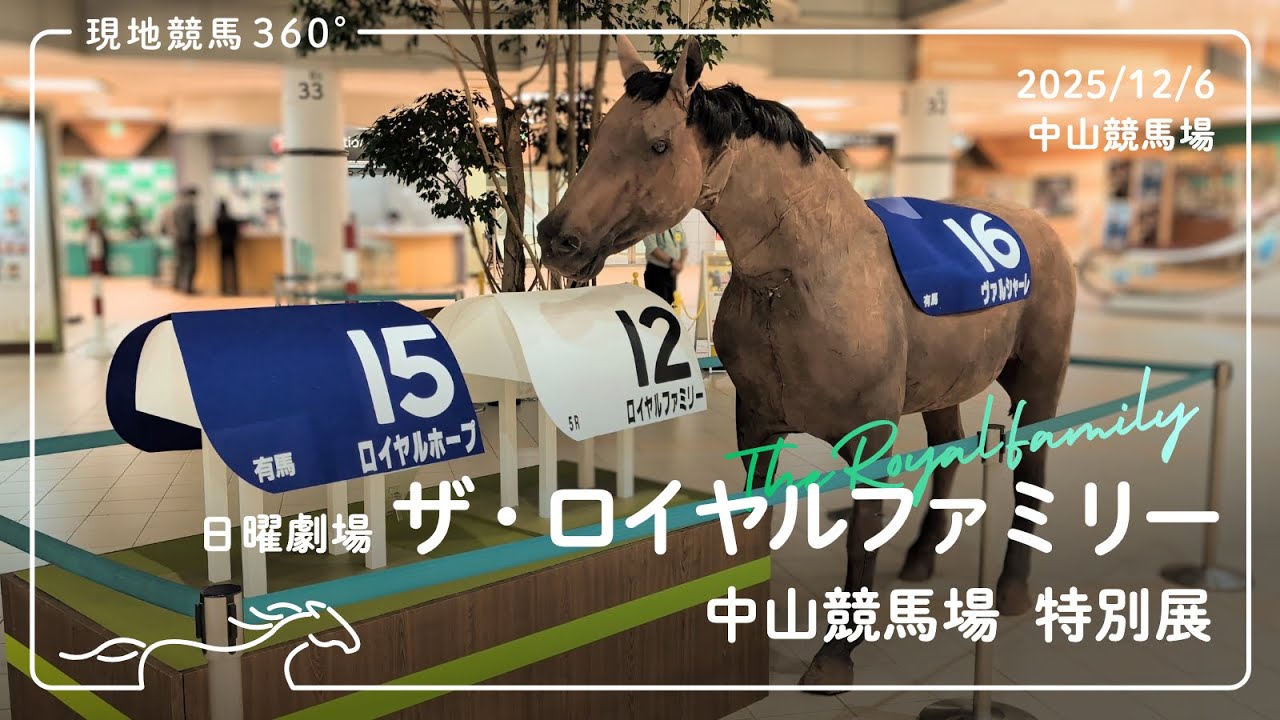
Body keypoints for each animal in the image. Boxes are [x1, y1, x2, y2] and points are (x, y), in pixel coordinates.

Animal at [537, 36, 1076, 688]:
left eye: (658, 144)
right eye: (600, 136)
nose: (556, 238)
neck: (809, 274)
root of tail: (1039, 226)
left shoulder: (871, 439)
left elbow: (861, 537)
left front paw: (837, 652)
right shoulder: (756, 424)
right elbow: (753, 521)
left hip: (1037, 378)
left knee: (1032, 469)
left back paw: (1012, 587)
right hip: (942, 386)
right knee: (948, 448)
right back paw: (922, 558)